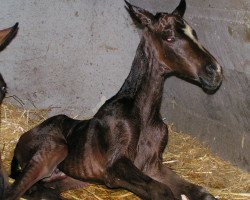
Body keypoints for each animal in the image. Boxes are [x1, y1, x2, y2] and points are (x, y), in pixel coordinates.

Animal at [4, 0, 223, 199]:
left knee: (41, 191)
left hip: (69, 178)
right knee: (15, 191)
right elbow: (161, 191)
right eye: (169, 37)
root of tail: (25, 135)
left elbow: (201, 193)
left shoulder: (153, 166)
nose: (216, 72)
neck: (142, 114)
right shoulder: (116, 165)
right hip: (53, 151)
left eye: (194, 33)